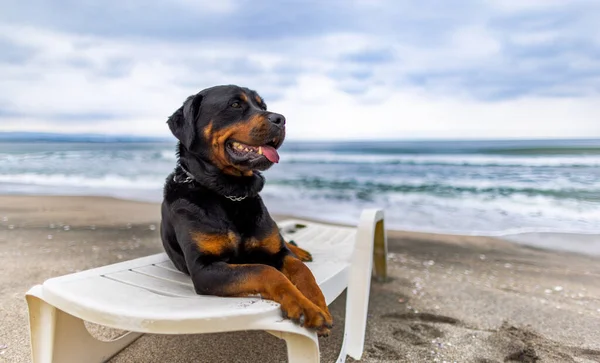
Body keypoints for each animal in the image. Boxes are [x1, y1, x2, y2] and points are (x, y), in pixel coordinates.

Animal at [159, 84, 332, 336]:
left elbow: (301, 270)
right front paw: (304, 306)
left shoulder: (277, 253)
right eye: (235, 104)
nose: (281, 119)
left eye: (263, 106)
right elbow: (264, 270)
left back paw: (300, 250)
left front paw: (317, 302)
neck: (230, 194)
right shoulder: (204, 268)